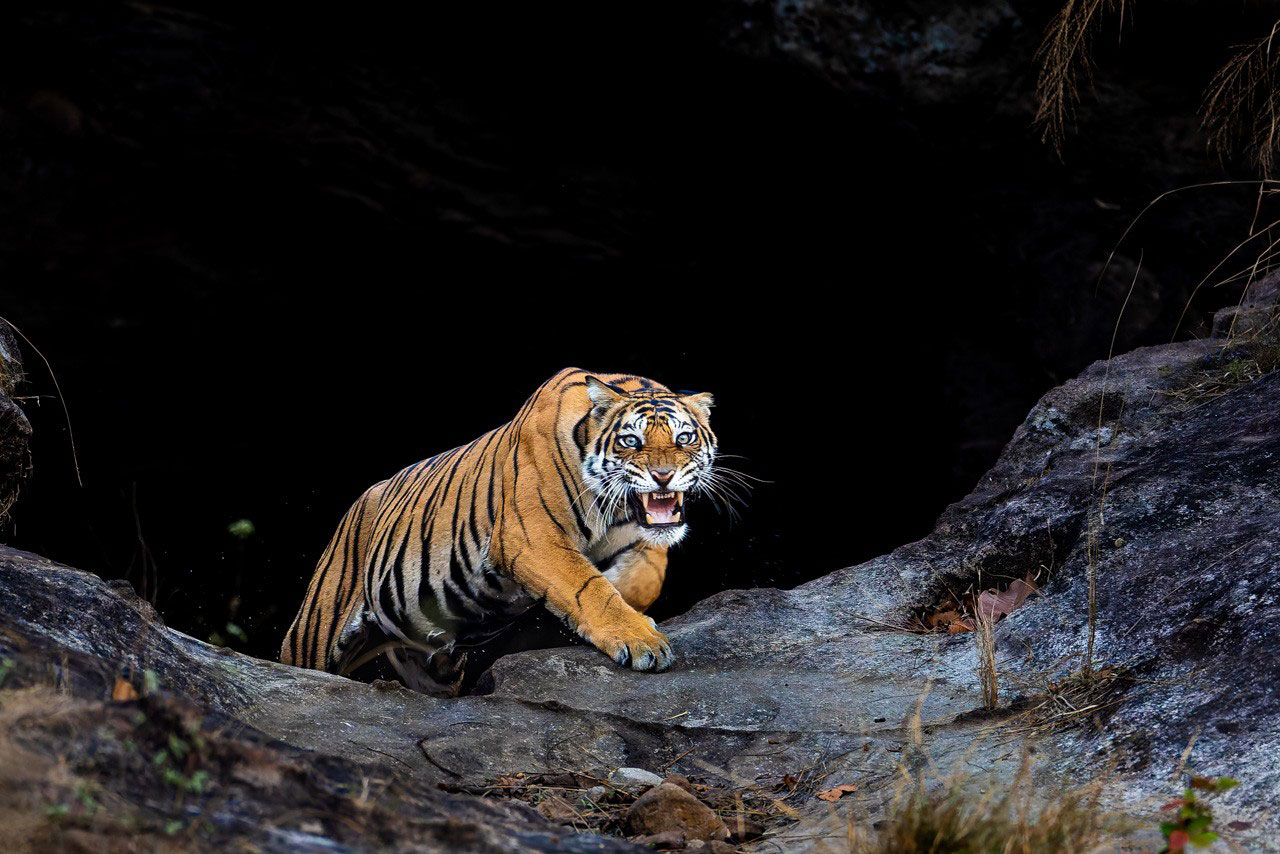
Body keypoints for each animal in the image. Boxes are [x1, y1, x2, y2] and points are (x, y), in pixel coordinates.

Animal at [280, 367, 718, 694]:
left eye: (684, 437)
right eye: (631, 440)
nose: (663, 476)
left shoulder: (641, 536)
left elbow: (645, 574)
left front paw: (629, 605)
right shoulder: (532, 538)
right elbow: (586, 587)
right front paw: (640, 640)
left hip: (431, 663)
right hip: (315, 631)